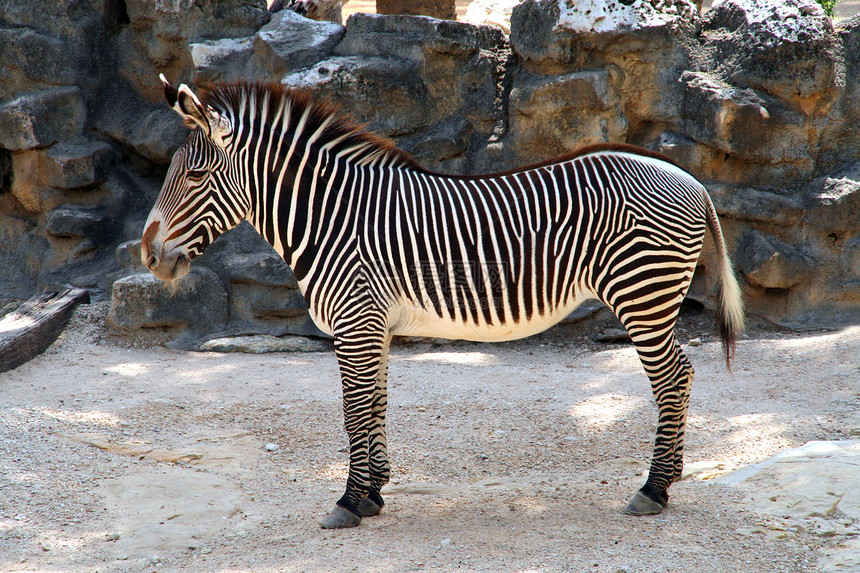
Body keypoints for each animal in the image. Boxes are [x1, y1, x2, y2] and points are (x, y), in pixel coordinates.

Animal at [143, 78, 744, 528]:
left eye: (195, 174)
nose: (148, 255)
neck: (331, 217)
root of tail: (690, 178)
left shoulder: (354, 322)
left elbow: (353, 411)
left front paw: (348, 501)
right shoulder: (374, 326)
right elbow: (375, 405)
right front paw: (374, 493)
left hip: (642, 293)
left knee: (673, 379)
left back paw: (654, 489)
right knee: (682, 375)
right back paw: (668, 479)